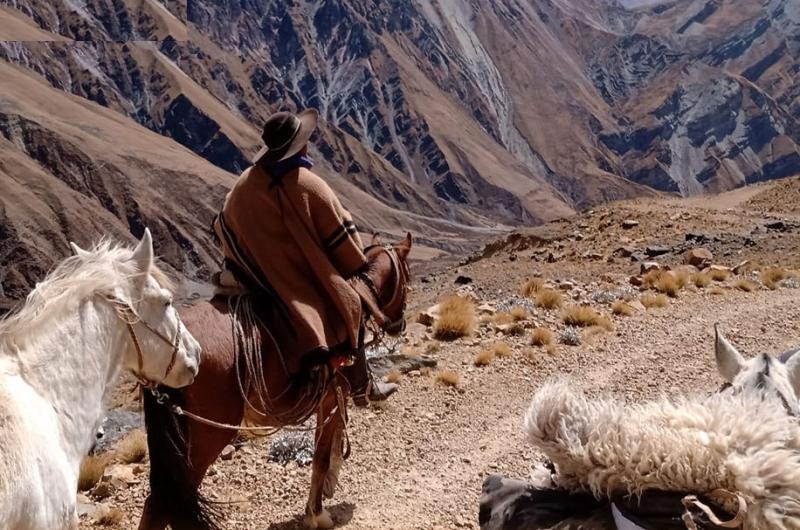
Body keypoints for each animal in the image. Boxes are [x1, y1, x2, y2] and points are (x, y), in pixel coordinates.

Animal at [138, 234, 412, 528]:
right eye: (407, 278)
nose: (399, 326)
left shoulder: (336, 400)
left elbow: (335, 441)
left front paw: (329, 485)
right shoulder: (331, 398)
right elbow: (321, 455)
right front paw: (317, 513)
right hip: (208, 436)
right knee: (166, 501)